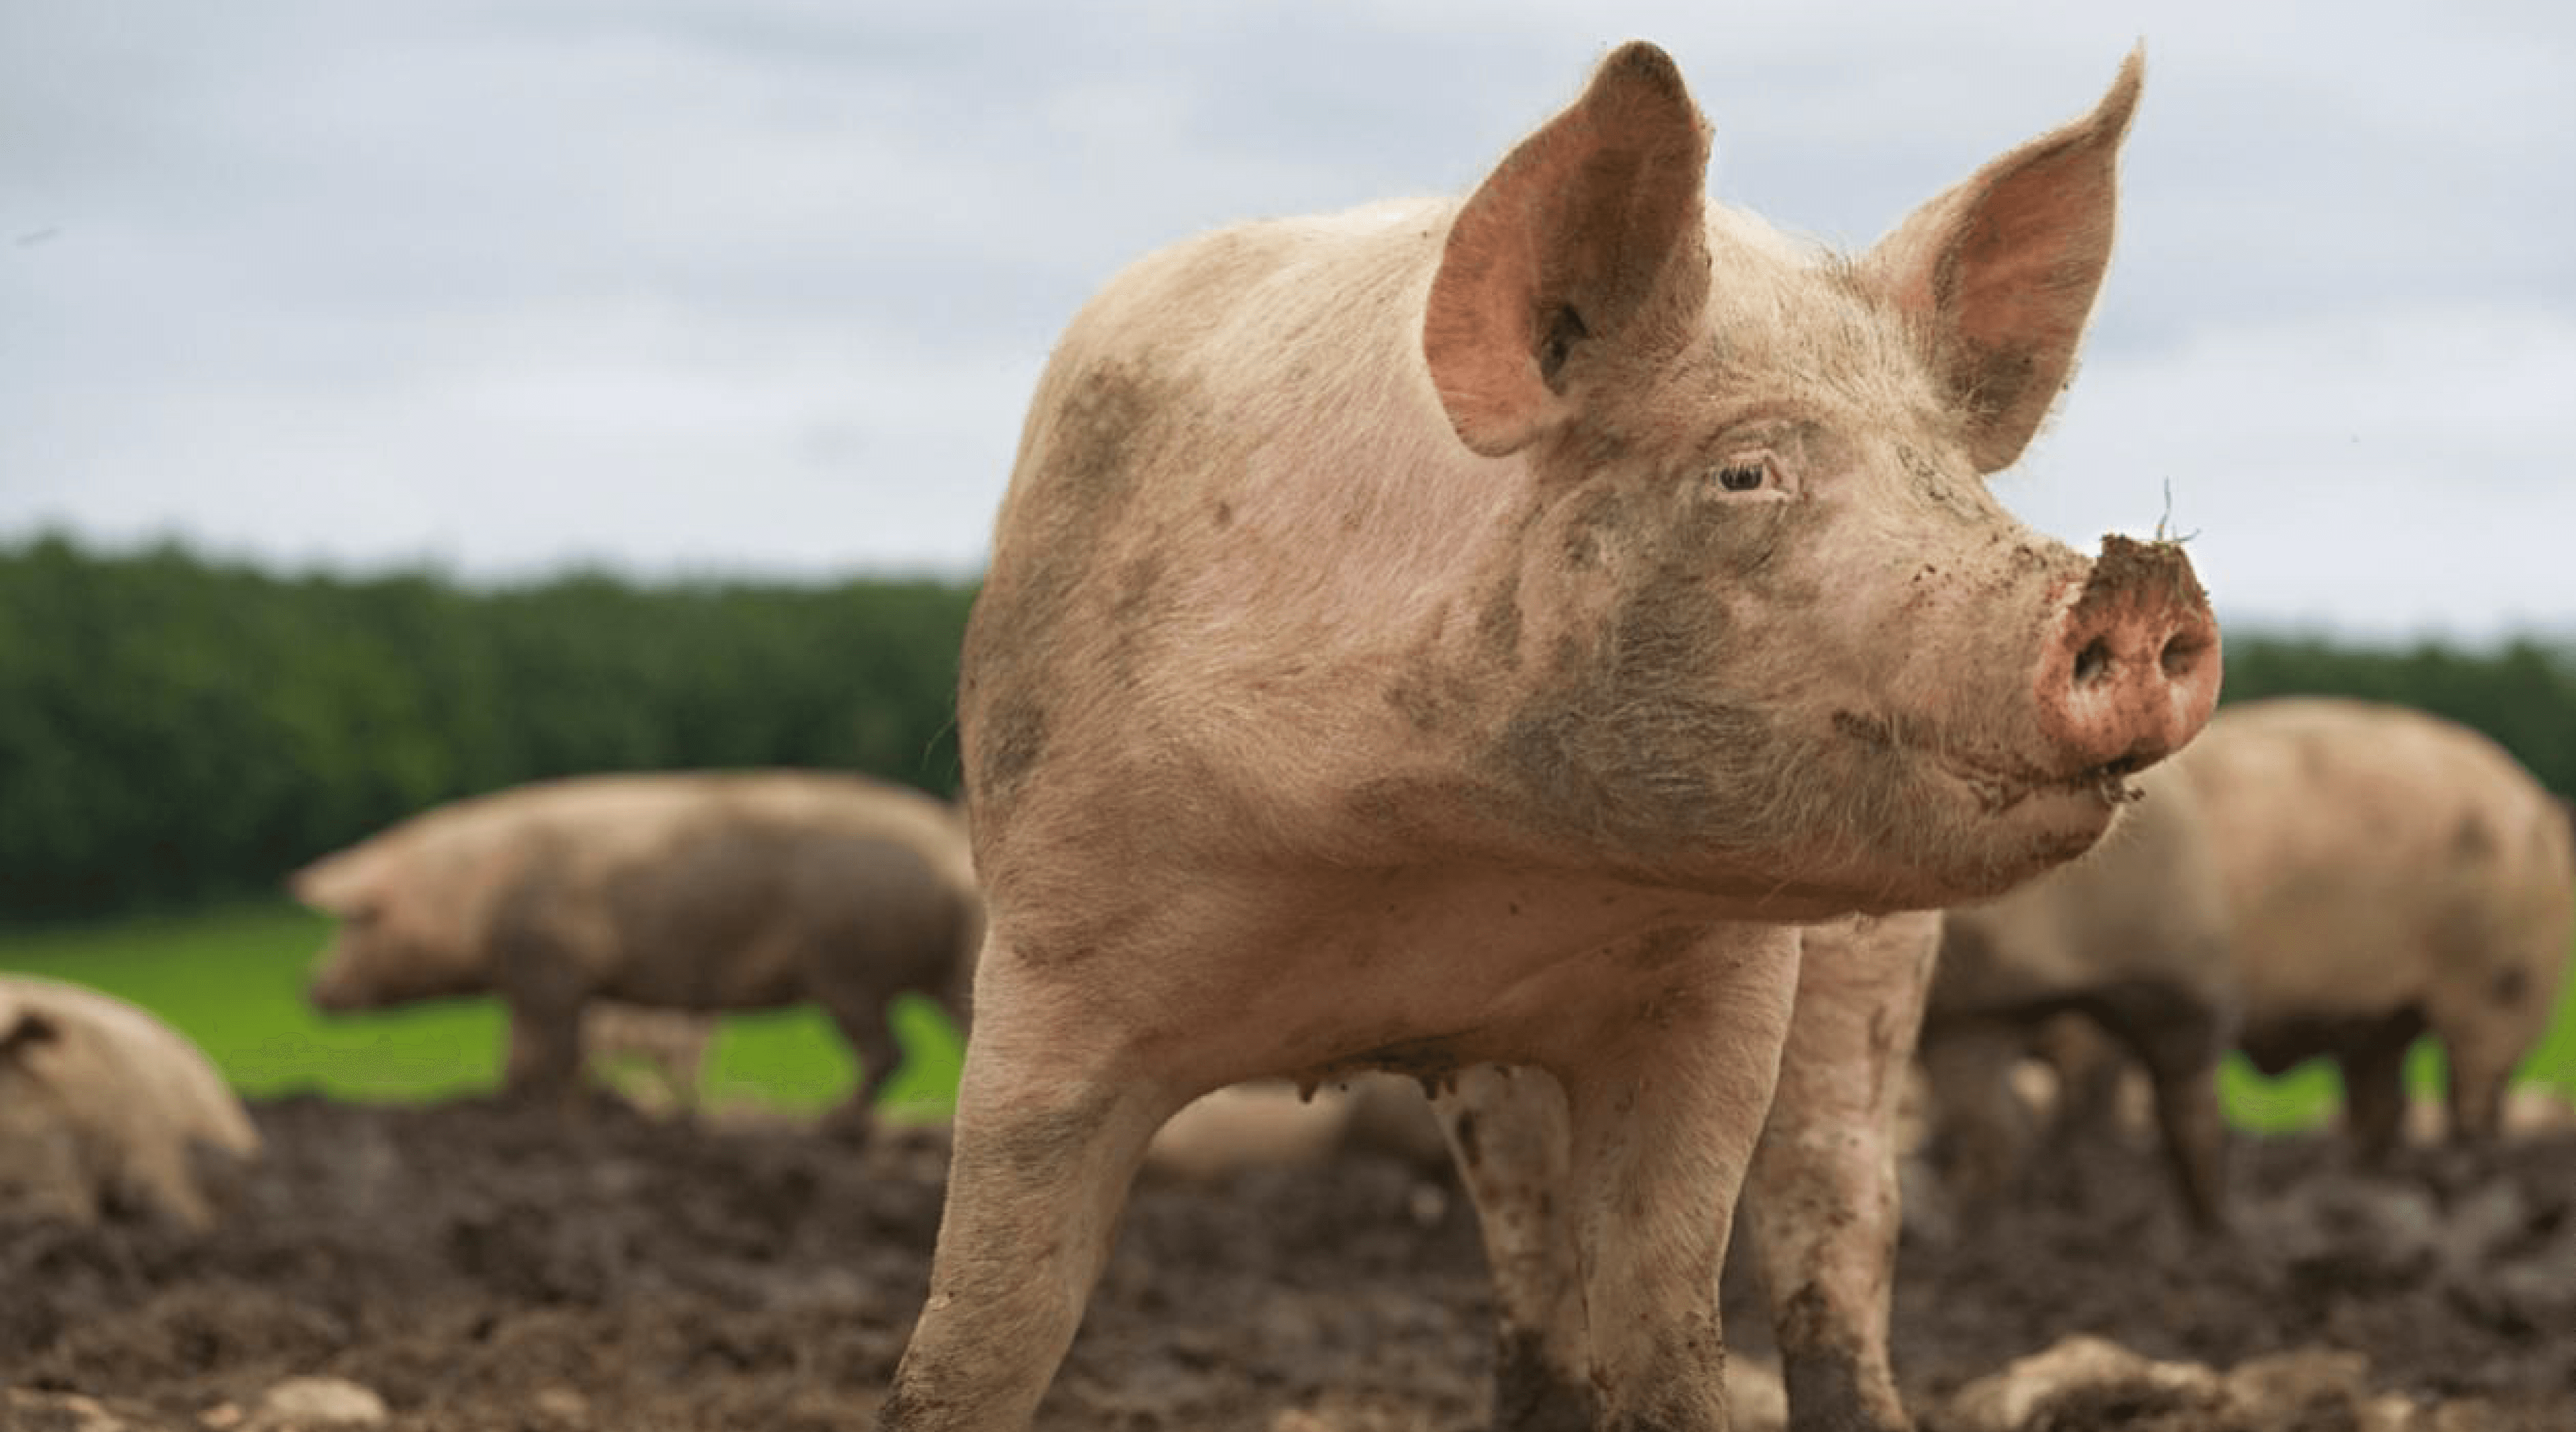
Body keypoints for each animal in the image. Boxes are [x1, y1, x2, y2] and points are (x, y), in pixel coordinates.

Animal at [292, 770, 981, 1122]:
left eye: (358, 922)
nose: (311, 989)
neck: (472, 894)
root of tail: (950, 850)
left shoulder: (551, 965)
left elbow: (552, 1053)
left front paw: (545, 1111)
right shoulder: (532, 979)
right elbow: (525, 1056)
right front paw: (507, 1105)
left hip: (848, 966)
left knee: (888, 1053)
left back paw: (827, 1128)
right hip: (942, 969)